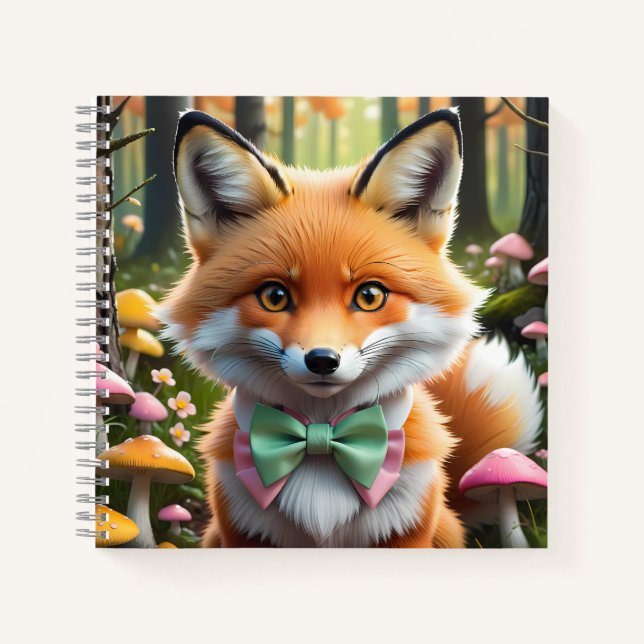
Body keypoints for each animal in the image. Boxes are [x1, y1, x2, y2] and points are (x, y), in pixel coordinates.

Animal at [158, 107, 542, 547]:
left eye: (370, 295)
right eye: (274, 296)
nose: (322, 360)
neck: (321, 441)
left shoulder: (406, 532)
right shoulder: (241, 530)